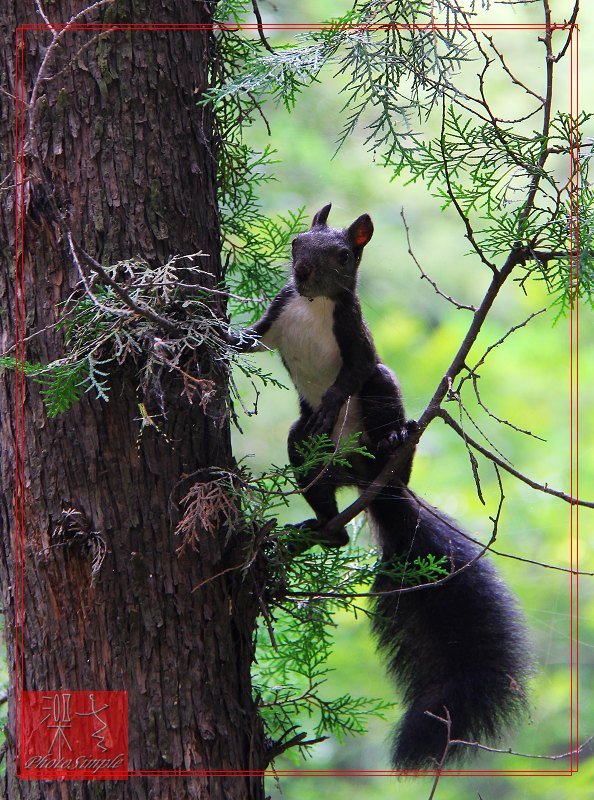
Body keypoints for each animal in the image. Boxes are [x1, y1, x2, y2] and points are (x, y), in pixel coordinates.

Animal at [231, 205, 528, 768]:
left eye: (345, 255)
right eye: (296, 243)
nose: (303, 274)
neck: (313, 305)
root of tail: (372, 482)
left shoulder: (355, 338)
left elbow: (357, 370)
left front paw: (333, 398)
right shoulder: (278, 313)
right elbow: (248, 339)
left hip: (383, 403)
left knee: (382, 393)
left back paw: (394, 441)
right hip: (306, 450)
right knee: (321, 489)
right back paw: (321, 528)